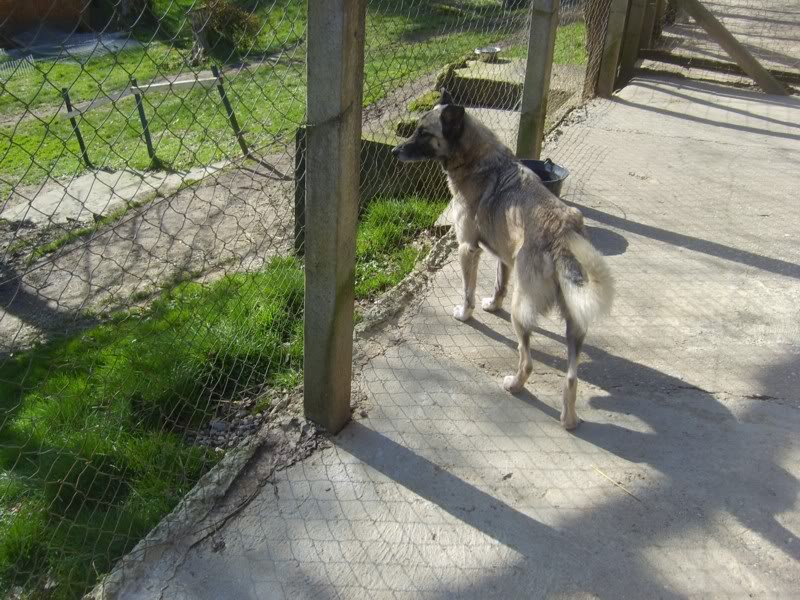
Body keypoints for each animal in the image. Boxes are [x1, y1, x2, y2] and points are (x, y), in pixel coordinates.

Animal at [392, 89, 612, 428]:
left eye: (424, 133)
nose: (393, 152)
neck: (477, 159)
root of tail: (563, 233)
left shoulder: (467, 248)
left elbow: (467, 292)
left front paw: (465, 314)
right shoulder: (503, 256)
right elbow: (499, 285)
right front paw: (492, 305)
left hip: (521, 312)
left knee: (528, 360)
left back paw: (515, 385)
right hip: (574, 324)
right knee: (571, 377)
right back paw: (568, 418)